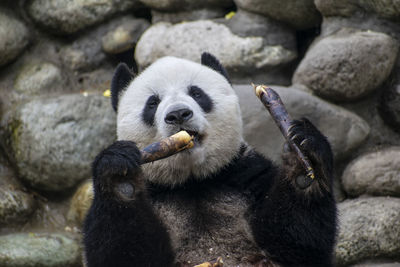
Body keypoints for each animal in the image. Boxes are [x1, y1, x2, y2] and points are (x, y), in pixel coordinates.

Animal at [83, 52, 338, 267]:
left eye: (197, 93)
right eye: (152, 103)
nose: (178, 114)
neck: (193, 181)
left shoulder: (246, 175)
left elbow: (297, 243)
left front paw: (303, 164)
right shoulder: (157, 193)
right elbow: (121, 253)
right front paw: (120, 177)